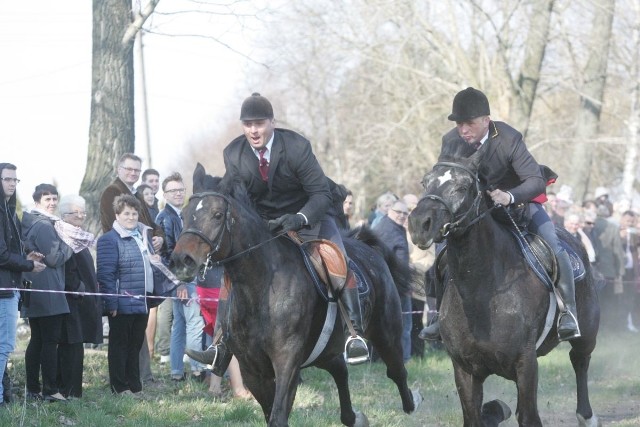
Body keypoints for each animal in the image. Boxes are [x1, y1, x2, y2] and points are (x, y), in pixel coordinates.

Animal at [170, 165, 420, 427]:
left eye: (218, 215)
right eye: (184, 214)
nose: (181, 260)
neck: (260, 288)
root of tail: (370, 250)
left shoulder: (287, 361)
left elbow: (278, 414)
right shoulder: (252, 369)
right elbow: (271, 412)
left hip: (385, 333)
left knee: (396, 371)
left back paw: (411, 403)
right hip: (324, 349)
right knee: (340, 369)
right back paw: (354, 417)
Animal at [410, 153, 600, 427]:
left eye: (463, 187)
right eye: (425, 182)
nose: (419, 224)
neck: (481, 291)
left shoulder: (525, 363)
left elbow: (528, 416)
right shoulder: (464, 369)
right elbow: (474, 416)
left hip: (587, 333)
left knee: (580, 360)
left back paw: (586, 415)